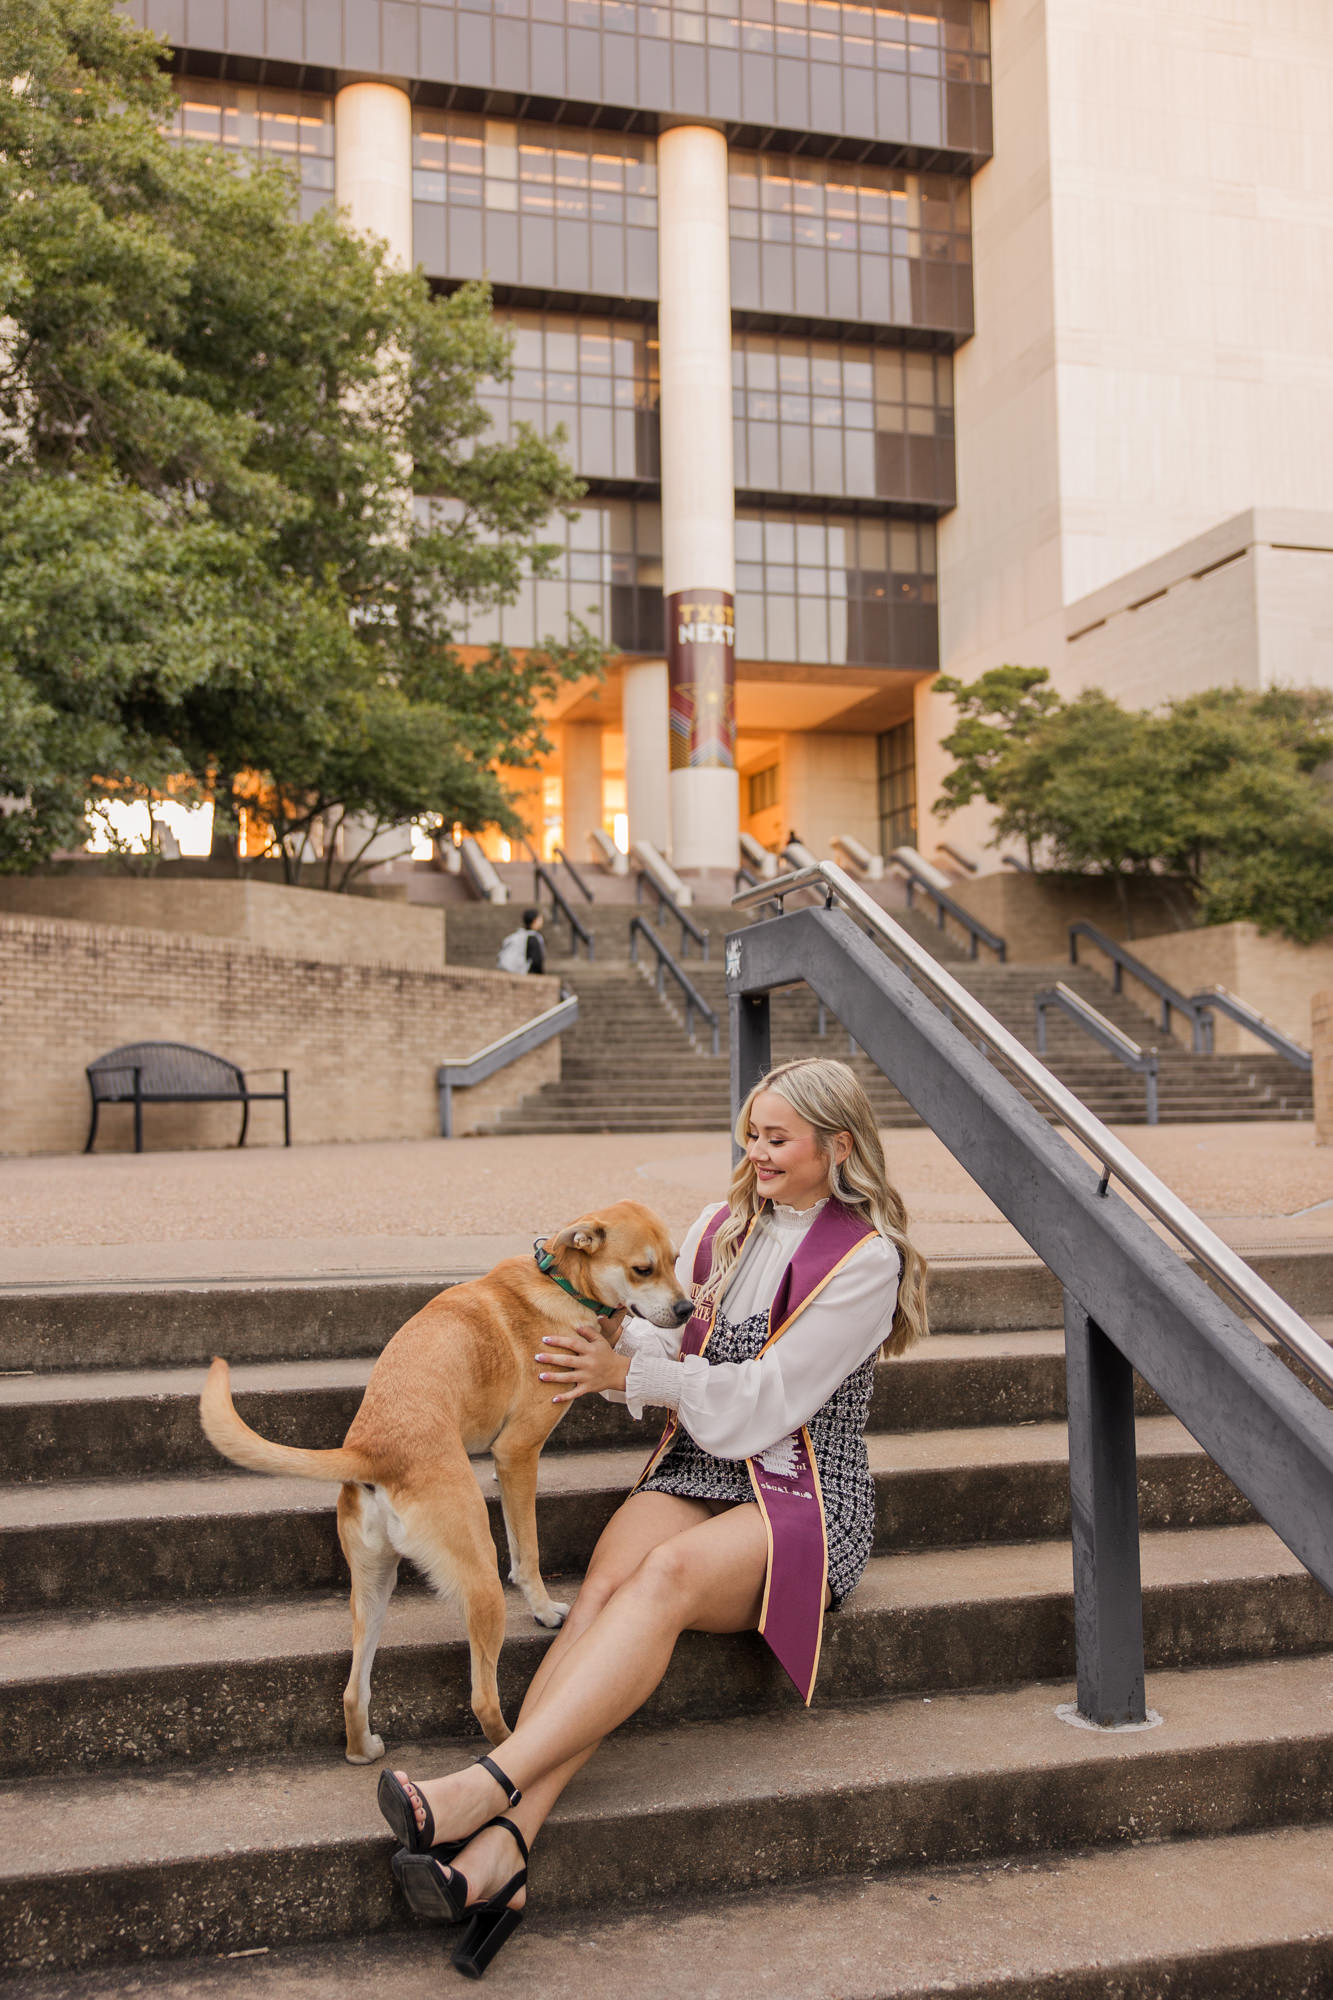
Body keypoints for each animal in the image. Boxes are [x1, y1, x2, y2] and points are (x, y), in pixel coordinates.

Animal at [202, 1192, 688, 1760]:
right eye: (642, 1269)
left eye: (677, 1260)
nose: (686, 1310)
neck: (560, 1283)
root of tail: (372, 1450)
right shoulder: (518, 1453)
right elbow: (527, 1551)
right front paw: (544, 1609)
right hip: (479, 1579)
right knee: (482, 1698)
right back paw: (510, 1744)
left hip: (373, 1587)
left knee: (353, 1691)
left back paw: (364, 1748)